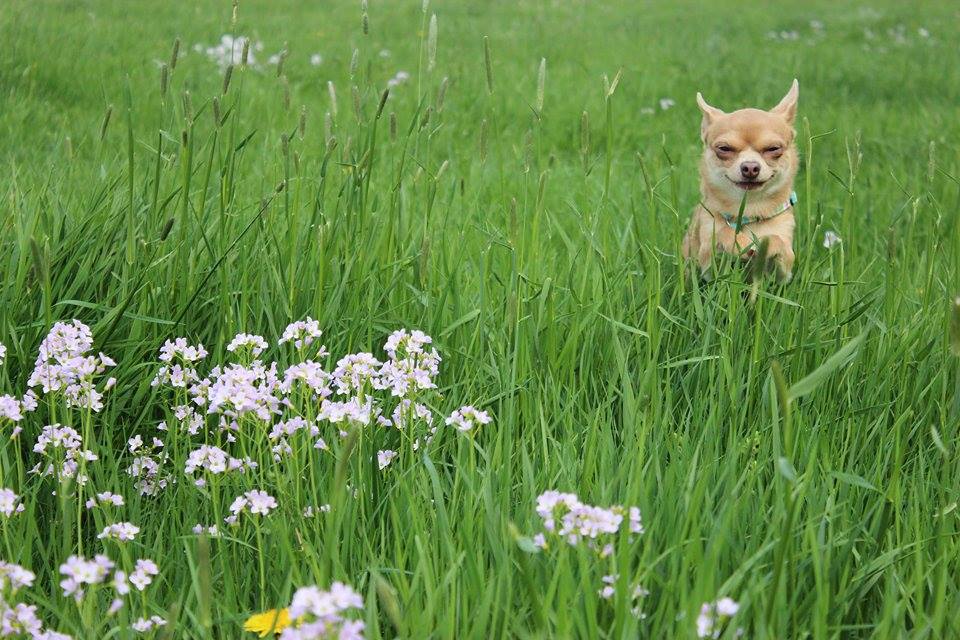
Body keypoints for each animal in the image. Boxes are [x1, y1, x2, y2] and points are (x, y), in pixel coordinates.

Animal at [684, 80, 804, 280]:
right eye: (724, 148)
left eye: (773, 148)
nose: (750, 167)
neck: (749, 212)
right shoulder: (708, 263)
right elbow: (723, 233)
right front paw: (736, 240)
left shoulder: (783, 274)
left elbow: (778, 242)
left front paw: (766, 243)